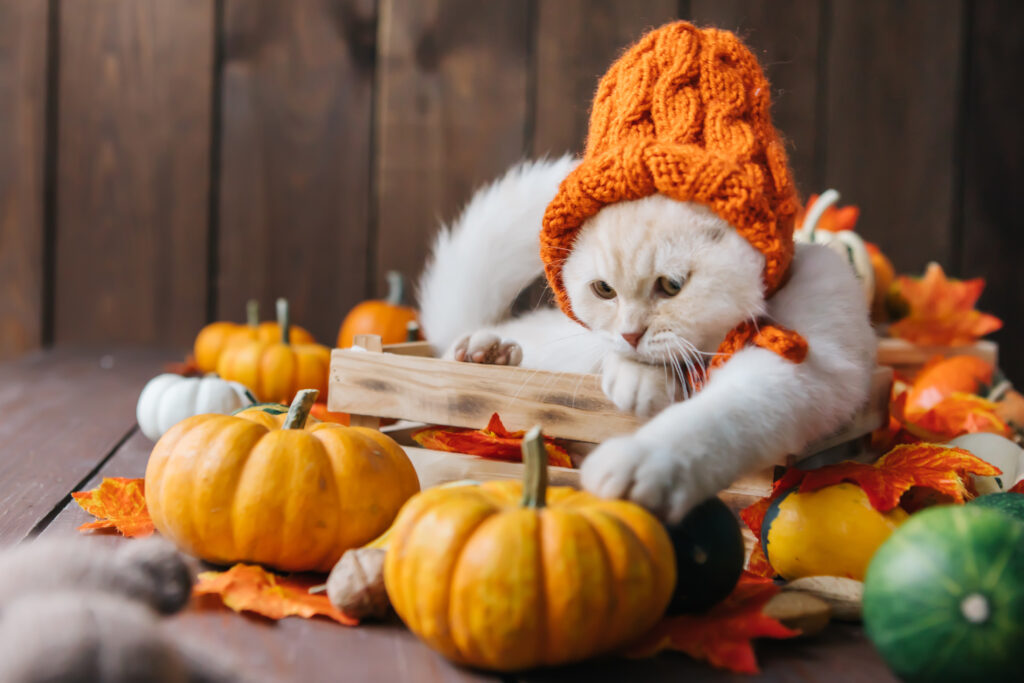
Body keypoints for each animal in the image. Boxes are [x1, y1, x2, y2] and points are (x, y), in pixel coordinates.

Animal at [419, 157, 876, 524]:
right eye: (604, 290)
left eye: (671, 286)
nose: (630, 333)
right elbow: (623, 358)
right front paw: (637, 377)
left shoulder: (797, 370)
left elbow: (714, 417)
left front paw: (647, 460)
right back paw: (485, 351)